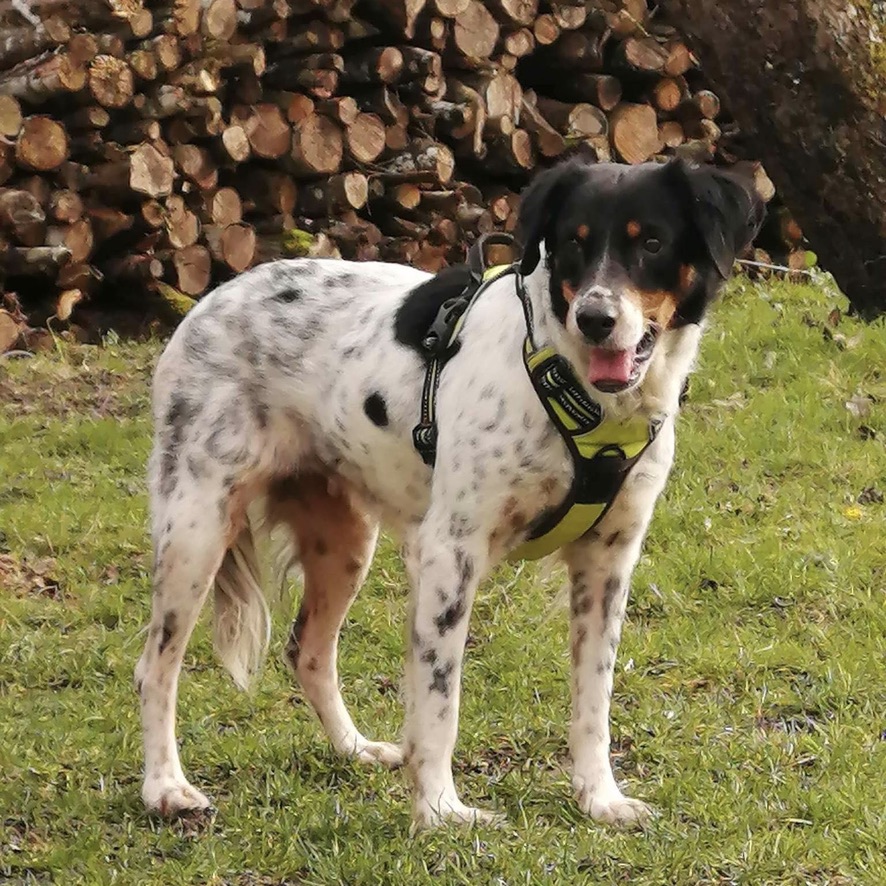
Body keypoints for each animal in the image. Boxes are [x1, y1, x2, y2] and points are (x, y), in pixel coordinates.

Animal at [135, 158, 768, 832]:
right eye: (573, 242)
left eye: (651, 242)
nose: (595, 318)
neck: (573, 386)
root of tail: (208, 301)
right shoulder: (450, 553)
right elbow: (440, 700)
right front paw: (441, 809)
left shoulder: (608, 562)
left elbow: (593, 699)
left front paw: (599, 797)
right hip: (196, 530)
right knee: (155, 668)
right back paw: (165, 787)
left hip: (345, 541)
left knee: (307, 650)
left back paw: (355, 748)